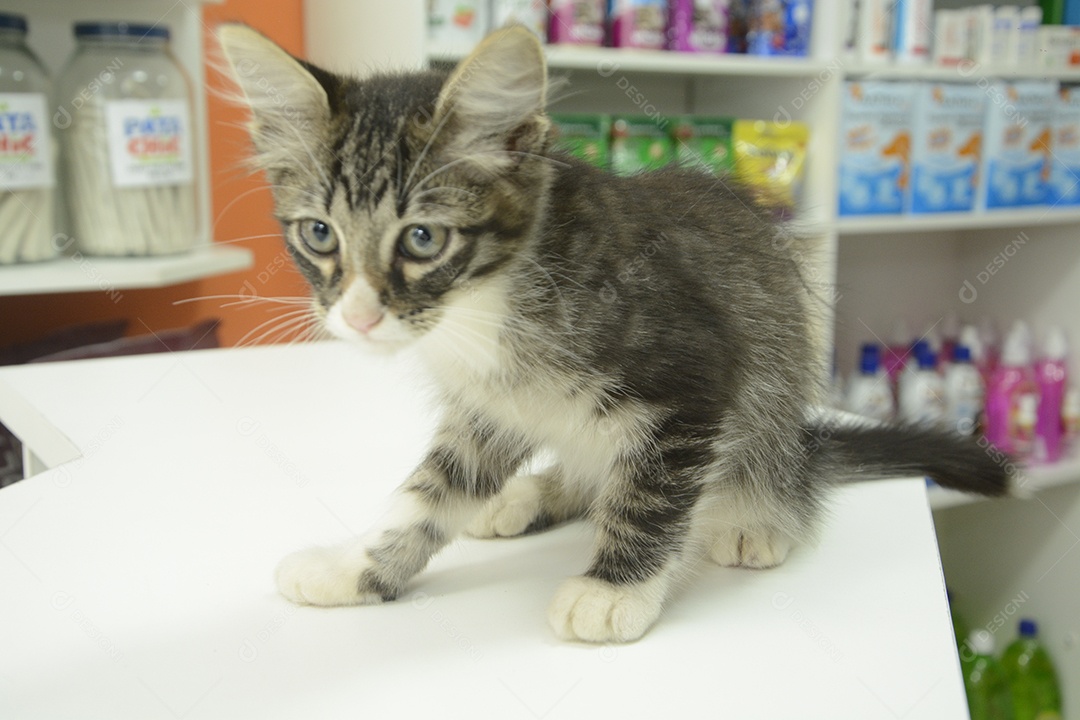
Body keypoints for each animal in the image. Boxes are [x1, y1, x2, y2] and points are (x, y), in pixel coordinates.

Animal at [219, 23, 1010, 643]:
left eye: (421, 239)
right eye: (319, 234)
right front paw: (355, 567)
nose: (356, 315)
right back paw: (531, 495)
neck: (489, 300)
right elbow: (428, 494)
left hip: (773, 389)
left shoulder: (696, 375)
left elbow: (655, 491)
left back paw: (756, 516)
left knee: (756, 463)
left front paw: (613, 589)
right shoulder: (484, 406)